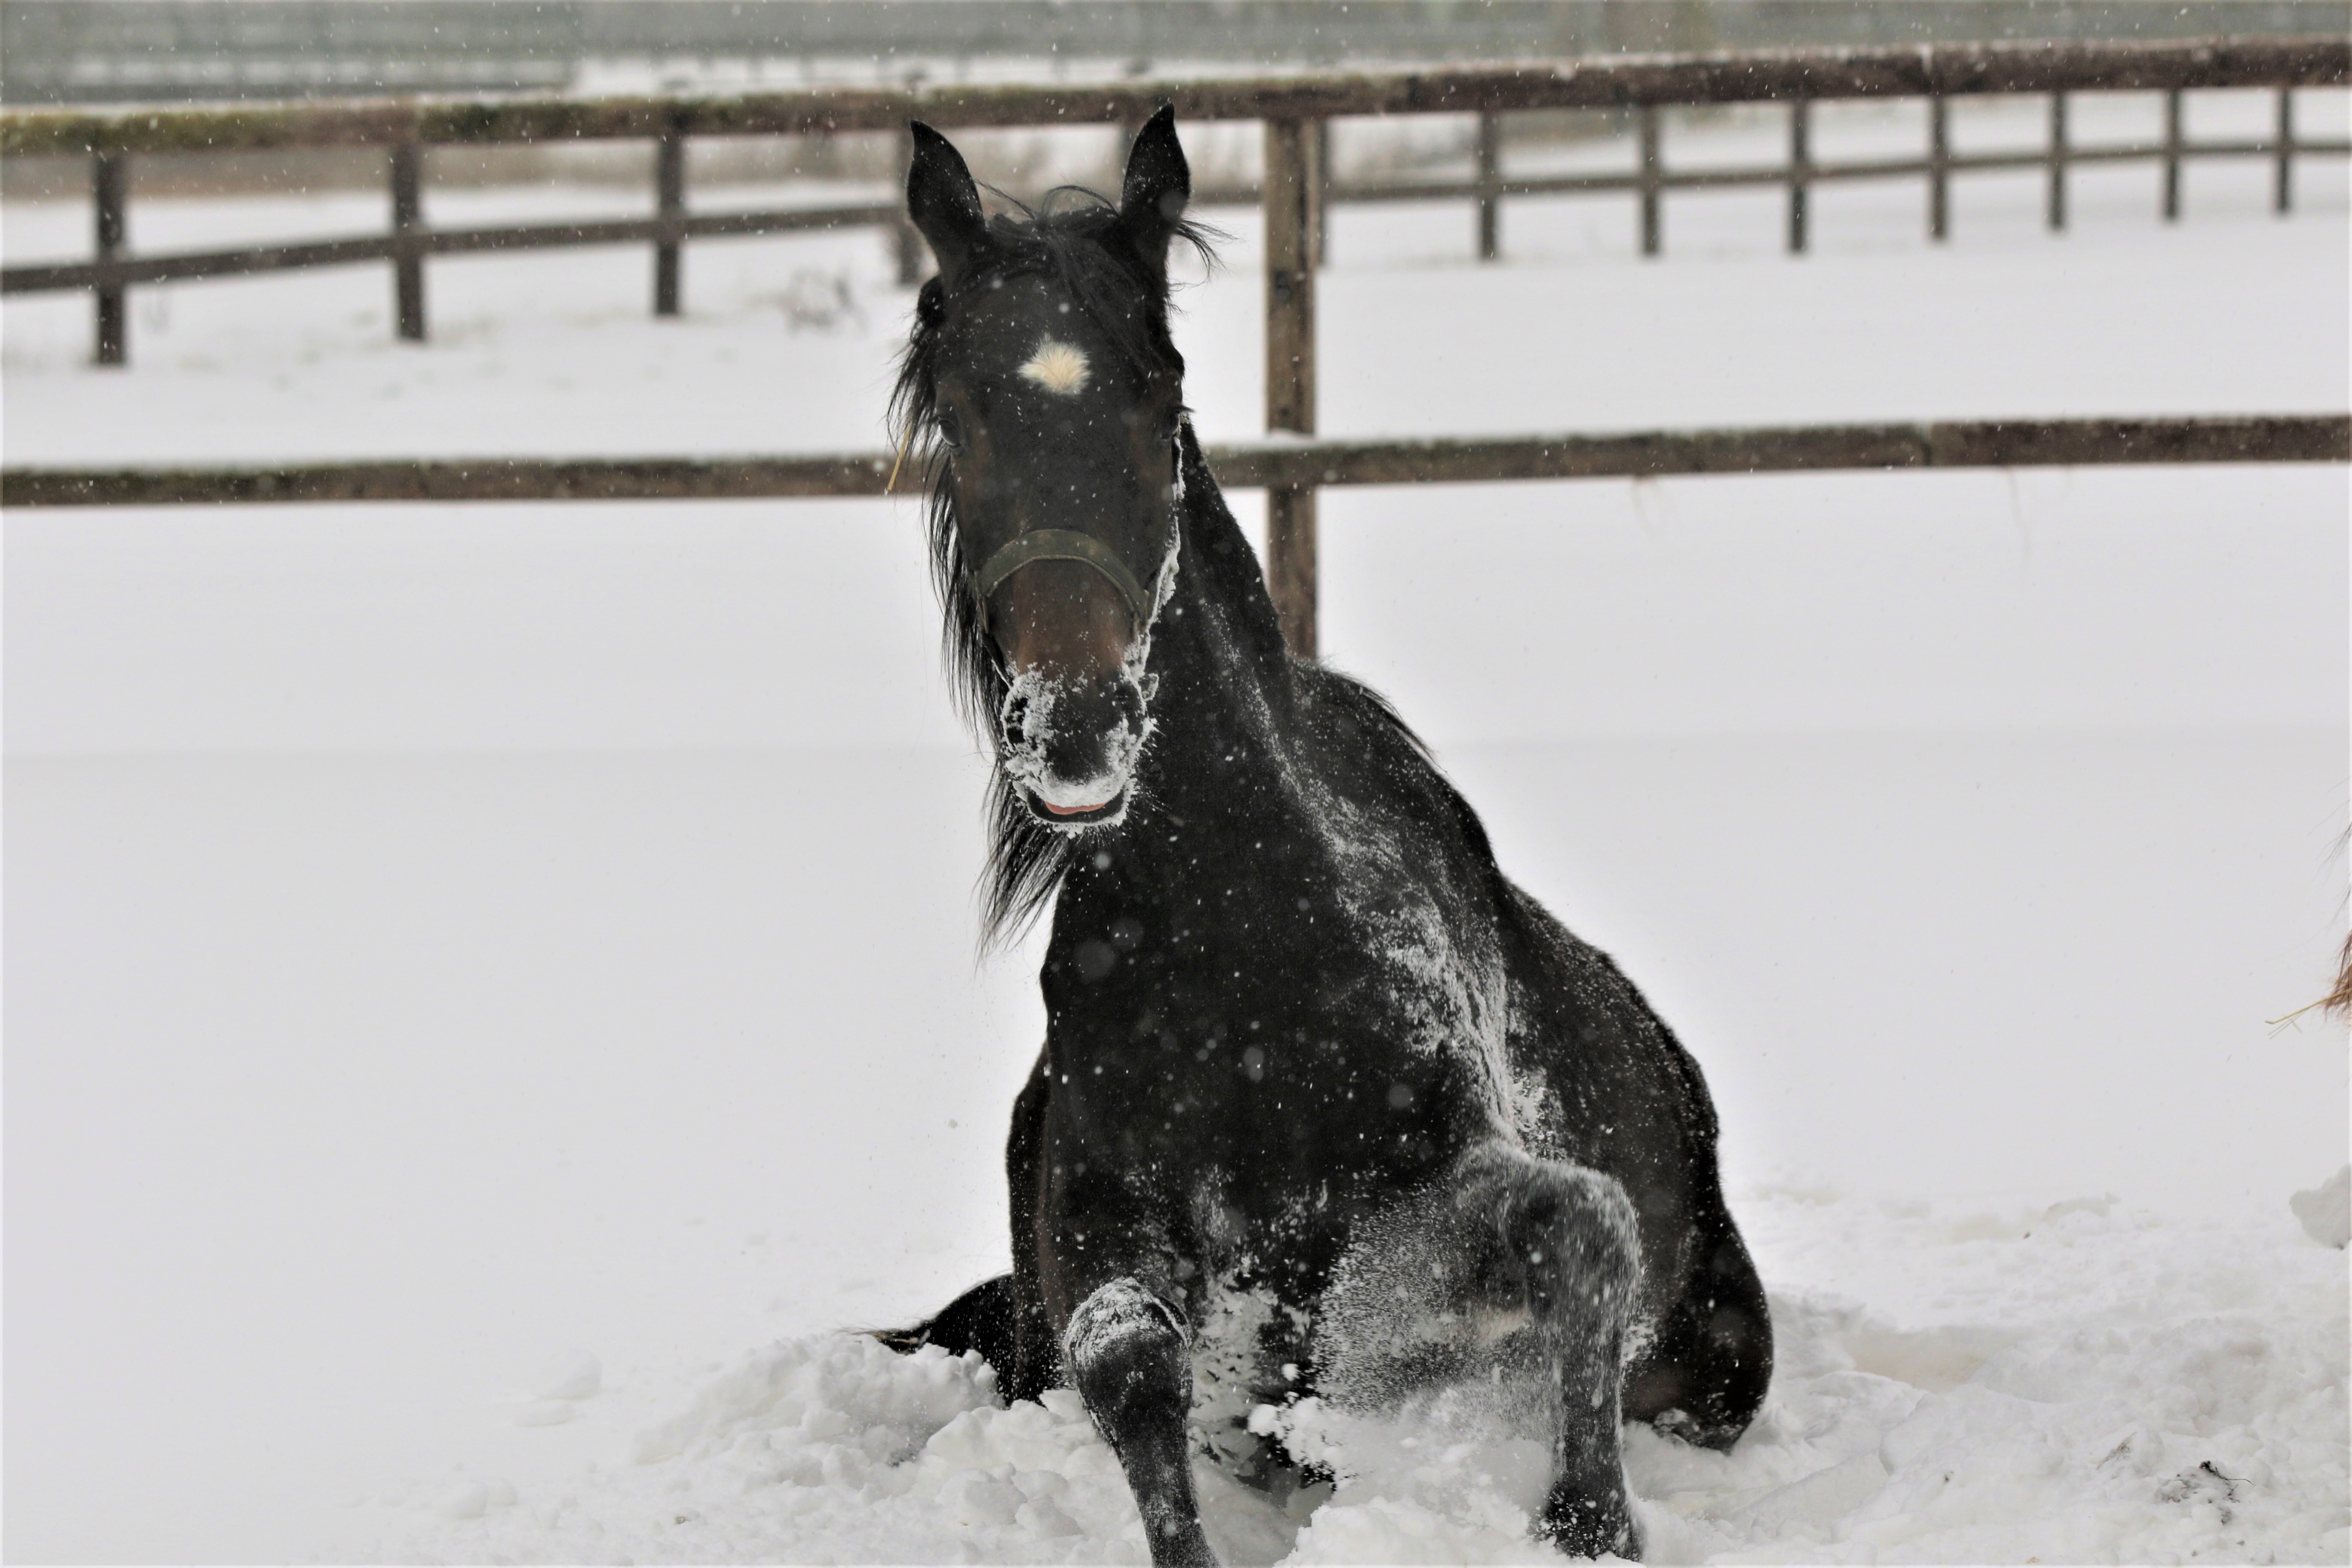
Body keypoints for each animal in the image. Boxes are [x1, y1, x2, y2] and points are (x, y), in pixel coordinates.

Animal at [876, 108, 1773, 1565]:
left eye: (1160, 393)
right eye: (960, 410)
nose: (1074, 730)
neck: (1246, 934)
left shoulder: (1431, 1192)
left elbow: (1580, 1223)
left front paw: (1587, 1518)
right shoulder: (1107, 1234)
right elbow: (1129, 1360)